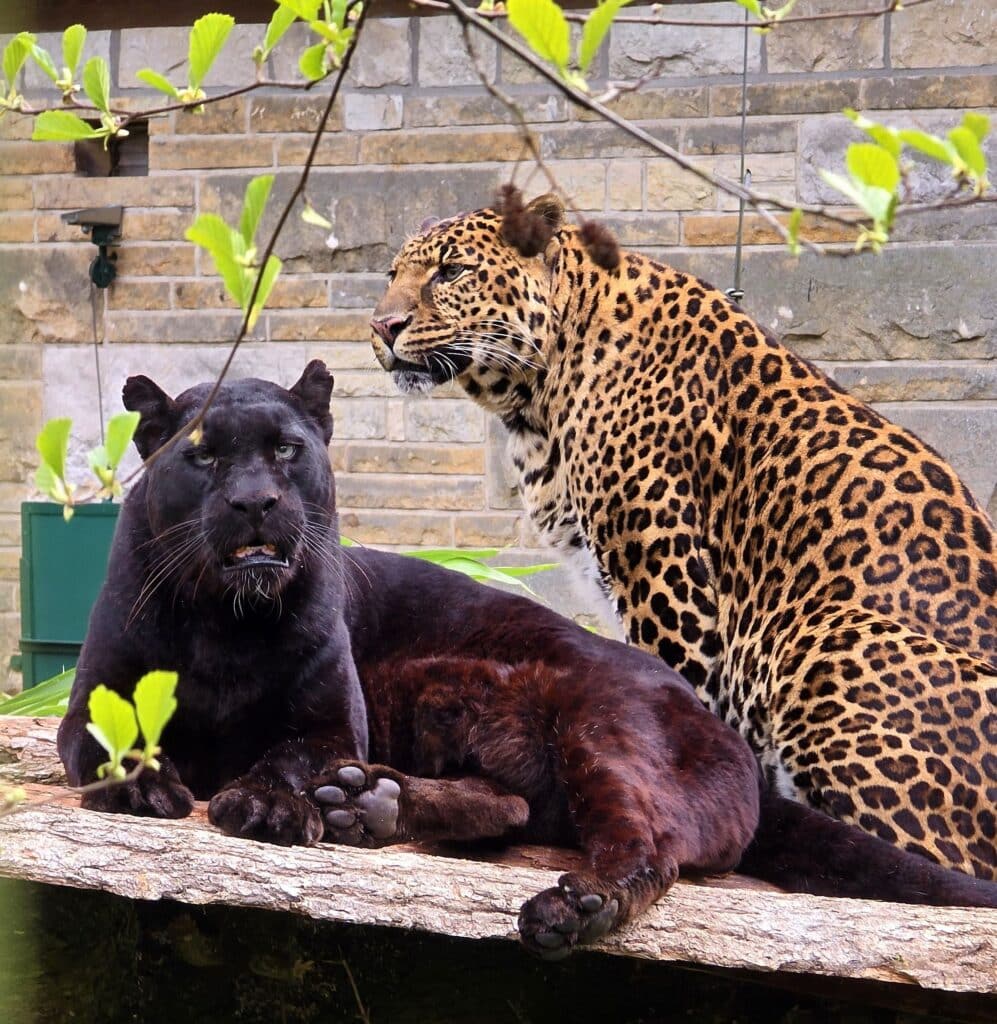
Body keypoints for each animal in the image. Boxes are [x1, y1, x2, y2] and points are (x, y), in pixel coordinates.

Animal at [372, 193, 997, 880]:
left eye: (451, 272)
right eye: (391, 276)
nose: (382, 327)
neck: (538, 394)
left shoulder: (665, 579)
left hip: (820, 634)